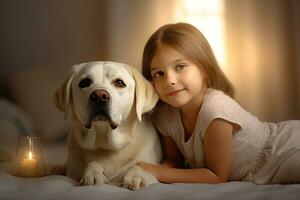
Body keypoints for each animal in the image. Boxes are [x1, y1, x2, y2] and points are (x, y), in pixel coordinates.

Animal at [52, 61, 163, 190]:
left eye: (119, 83)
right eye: (84, 82)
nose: (100, 96)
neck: (105, 144)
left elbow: (141, 166)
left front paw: (137, 176)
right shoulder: (72, 173)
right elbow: (92, 163)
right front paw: (92, 174)